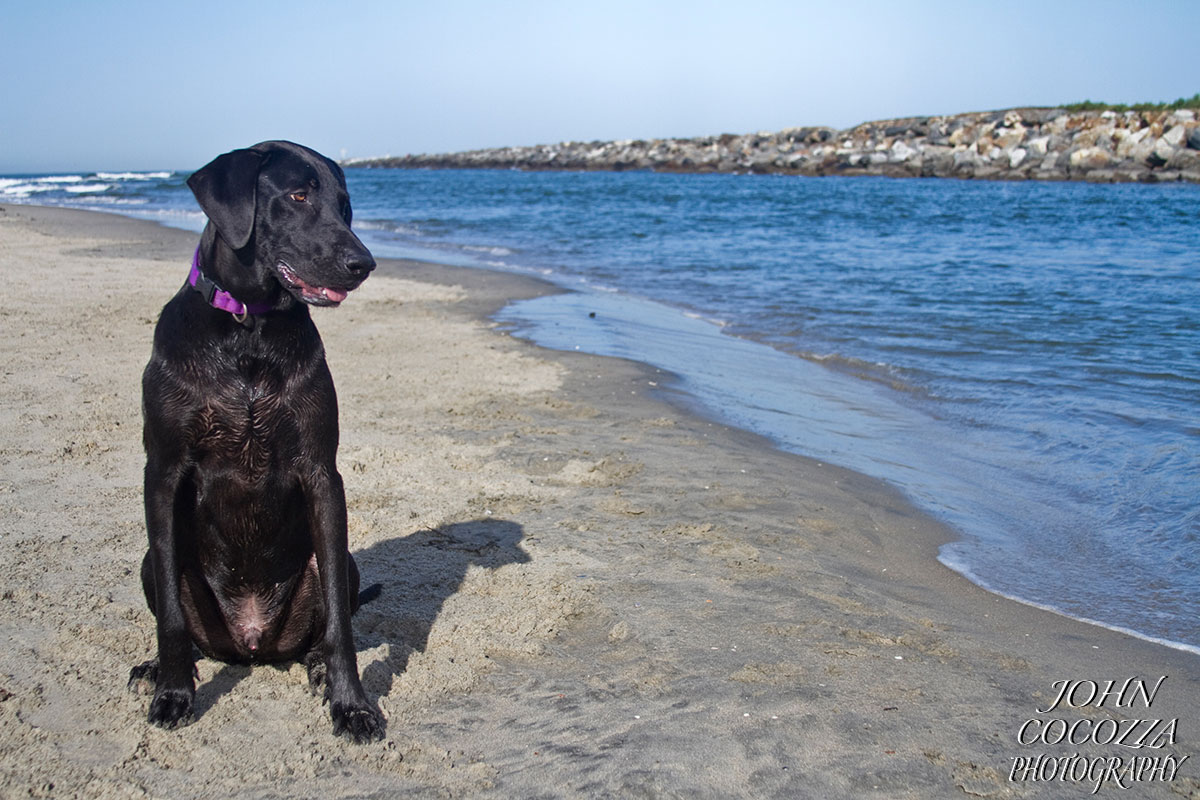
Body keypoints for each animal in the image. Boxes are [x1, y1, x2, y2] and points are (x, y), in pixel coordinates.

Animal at [127, 142, 381, 743]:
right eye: (298, 195)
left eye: (345, 204)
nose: (363, 264)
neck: (248, 331)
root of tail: (251, 643)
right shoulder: (162, 472)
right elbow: (171, 617)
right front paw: (173, 691)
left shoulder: (321, 473)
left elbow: (340, 622)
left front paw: (351, 704)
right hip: (152, 561)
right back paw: (155, 670)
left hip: (343, 564)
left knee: (326, 614)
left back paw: (316, 667)